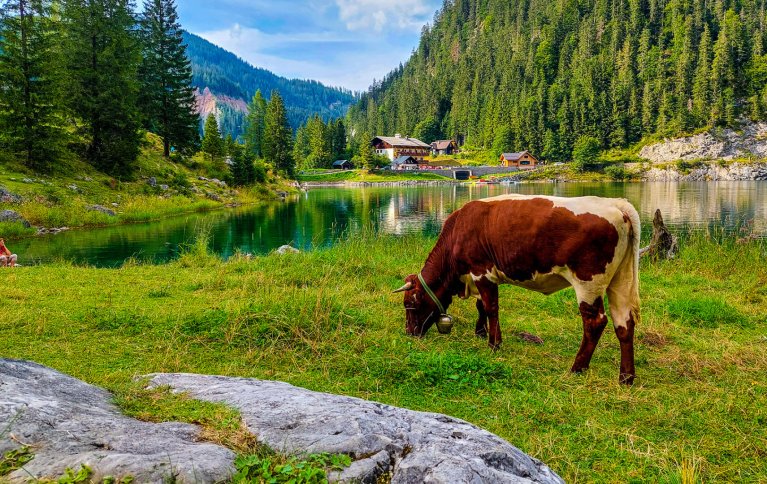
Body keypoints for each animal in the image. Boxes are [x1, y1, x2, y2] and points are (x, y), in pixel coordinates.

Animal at [396, 195, 640, 384]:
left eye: (410, 303)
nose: (409, 333)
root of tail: (616, 203)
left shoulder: (482, 271)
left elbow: (491, 307)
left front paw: (494, 344)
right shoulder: (481, 276)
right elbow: (481, 306)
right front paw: (481, 332)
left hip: (588, 282)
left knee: (595, 322)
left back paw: (577, 368)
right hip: (621, 280)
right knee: (624, 323)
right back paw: (626, 377)